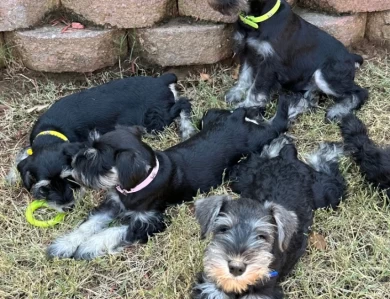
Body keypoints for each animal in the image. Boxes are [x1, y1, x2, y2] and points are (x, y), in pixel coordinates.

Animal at [7, 74, 192, 212]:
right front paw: (12, 176)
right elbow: (22, 155)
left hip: (154, 120)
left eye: (69, 179)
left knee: (183, 104)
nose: (68, 207)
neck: (52, 129)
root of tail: (160, 80)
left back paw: (187, 129)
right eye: (46, 188)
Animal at [45, 95, 302, 260]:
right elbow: (89, 225)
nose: (73, 164)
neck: (138, 184)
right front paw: (63, 245)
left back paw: (280, 127)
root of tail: (236, 118)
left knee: (277, 126)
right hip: (208, 117)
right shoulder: (112, 204)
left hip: (258, 138)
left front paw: (88, 248)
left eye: (96, 160)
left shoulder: (150, 221)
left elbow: (117, 230)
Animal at [193, 137, 346, 298]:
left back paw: (328, 151)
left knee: (329, 171)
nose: (236, 267)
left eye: (262, 236)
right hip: (241, 177)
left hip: (328, 194)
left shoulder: (263, 292)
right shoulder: (210, 286)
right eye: (223, 229)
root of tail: (289, 159)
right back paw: (278, 144)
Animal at [209, 0, 368, 122]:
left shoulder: (269, 64)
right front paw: (237, 92)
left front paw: (247, 105)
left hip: (326, 75)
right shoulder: (248, 53)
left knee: (360, 92)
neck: (257, 19)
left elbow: (257, 89)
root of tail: (351, 57)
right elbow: (244, 75)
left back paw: (337, 111)